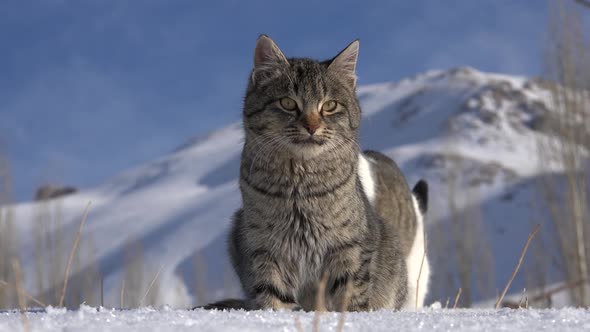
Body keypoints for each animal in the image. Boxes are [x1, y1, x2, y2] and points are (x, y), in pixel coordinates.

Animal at [200, 34, 430, 312]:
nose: (311, 126)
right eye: (288, 103)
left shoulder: (347, 246)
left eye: (329, 106)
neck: (299, 181)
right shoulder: (264, 246)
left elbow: (350, 295)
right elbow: (273, 297)